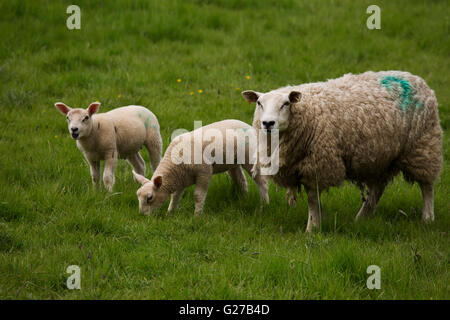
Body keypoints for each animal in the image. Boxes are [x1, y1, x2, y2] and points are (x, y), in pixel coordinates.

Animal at [132, 119, 268, 215]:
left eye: (149, 198)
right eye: (138, 195)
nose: (142, 215)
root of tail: (249, 126)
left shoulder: (204, 172)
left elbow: (198, 196)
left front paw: (197, 215)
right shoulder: (181, 178)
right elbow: (175, 196)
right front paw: (170, 212)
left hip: (250, 158)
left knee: (262, 182)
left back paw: (264, 206)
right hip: (232, 163)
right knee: (241, 180)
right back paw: (244, 198)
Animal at [243, 70, 442, 231]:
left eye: (285, 103)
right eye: (259, 103)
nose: (268, 123)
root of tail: (416, 78)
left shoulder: (318, 164)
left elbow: (312, 199)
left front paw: (311, 228)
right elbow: (314, 200)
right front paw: (318, 221)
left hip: (423, 146)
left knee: (427, 186)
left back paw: (428, 218)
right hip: (381, 156)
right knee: (377, 189)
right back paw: (361, 218)